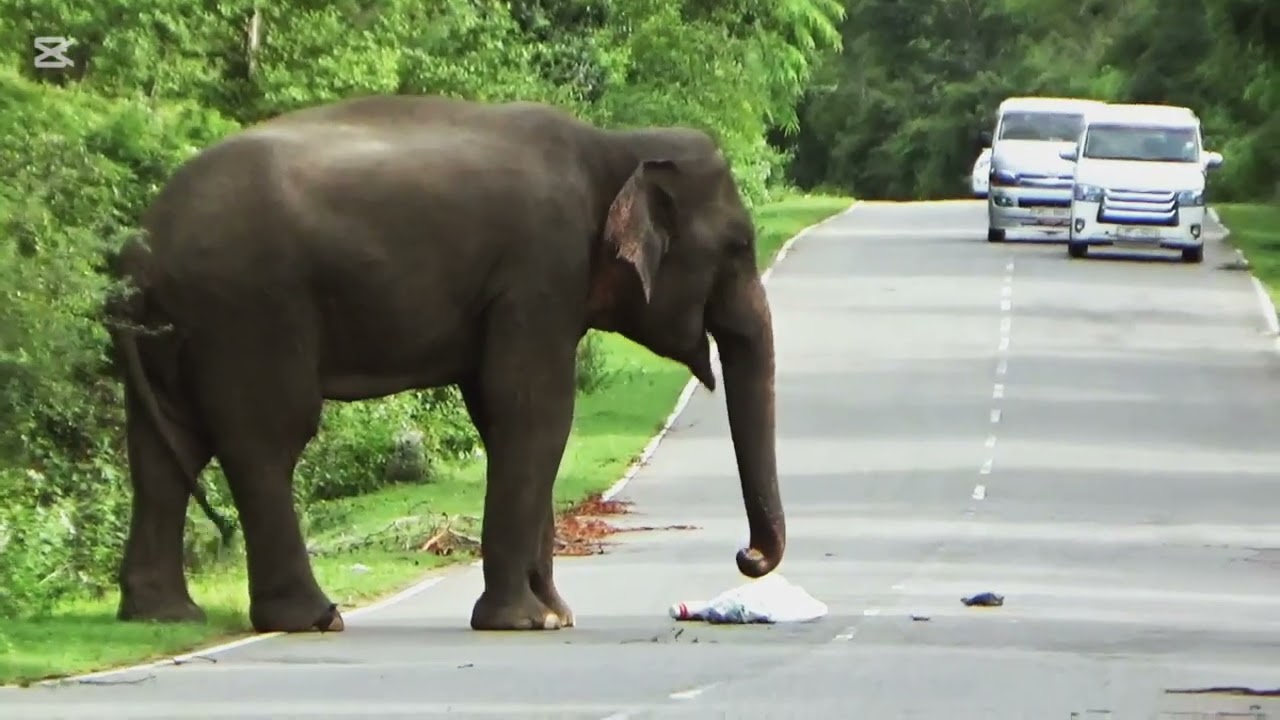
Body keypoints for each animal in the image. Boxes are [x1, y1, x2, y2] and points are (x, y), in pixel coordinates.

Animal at [105, 94, 786, 634]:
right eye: (737, 247)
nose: (746, 560)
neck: (615, 143)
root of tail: (140, 249)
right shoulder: (539, 269)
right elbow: (533, 412)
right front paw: (525, 622)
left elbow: (504, 414)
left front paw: (555, 615)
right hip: (249, 308)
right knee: (267, 439)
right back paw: (314, 619)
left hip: (177, 329)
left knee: (165, 447)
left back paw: (164, 615)